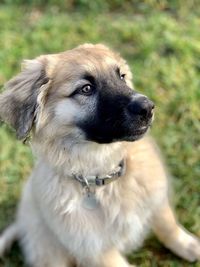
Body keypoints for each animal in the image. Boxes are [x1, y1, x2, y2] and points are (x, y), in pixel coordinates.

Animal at [0, 43, 199, 266]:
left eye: (121, 76)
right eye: (86, 89)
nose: (148, 107)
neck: (104, 176)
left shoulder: (157, 199)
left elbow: (168, 224)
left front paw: (188, 245)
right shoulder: (96, 249)